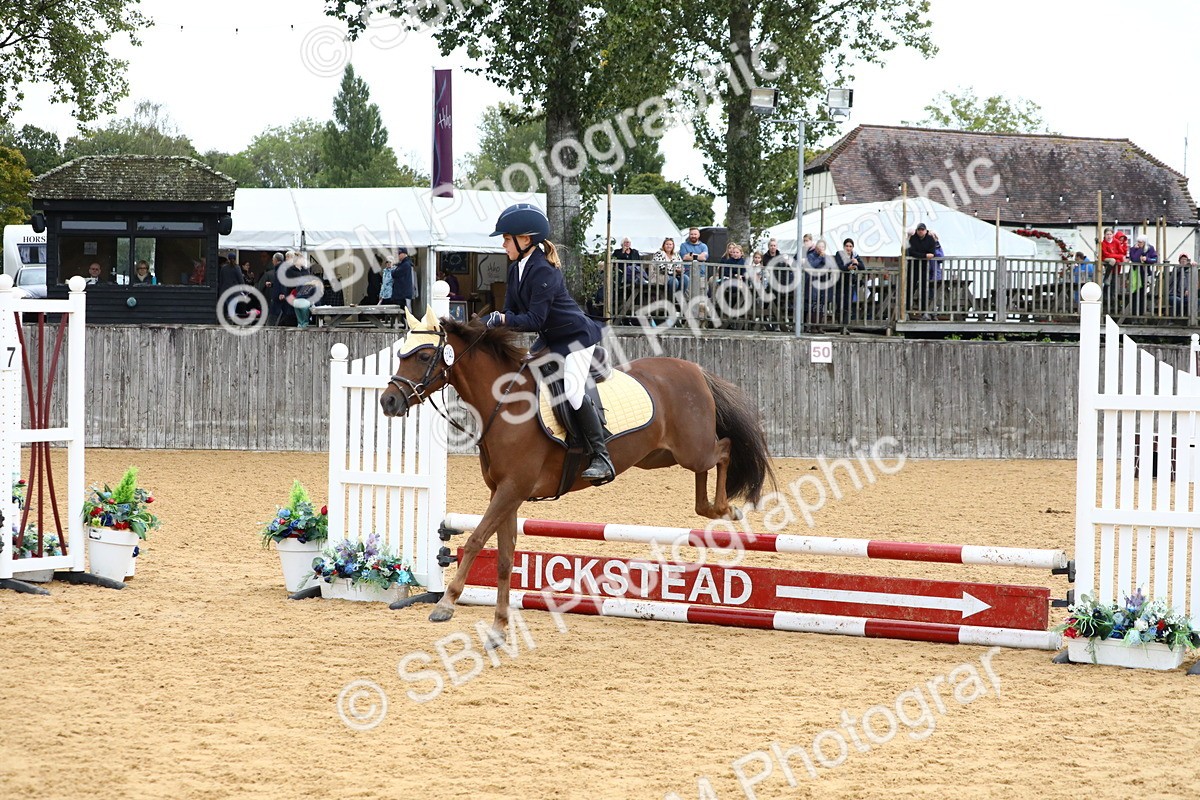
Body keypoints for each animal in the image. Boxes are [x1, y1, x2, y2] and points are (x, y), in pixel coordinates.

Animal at [380, 307, 775, 644]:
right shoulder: (505, 493)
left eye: (423, 356)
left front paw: (446, 605)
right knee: (705, 474)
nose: (388, 402)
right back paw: (715, 509)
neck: (502, 401)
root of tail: (693, 369)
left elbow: (476, 539)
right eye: (400, 354)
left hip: (691, 448)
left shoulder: (512, 489)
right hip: (661, 457)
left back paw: (728, 509)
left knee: (724, 448)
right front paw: (498, 628)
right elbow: (505, 558)